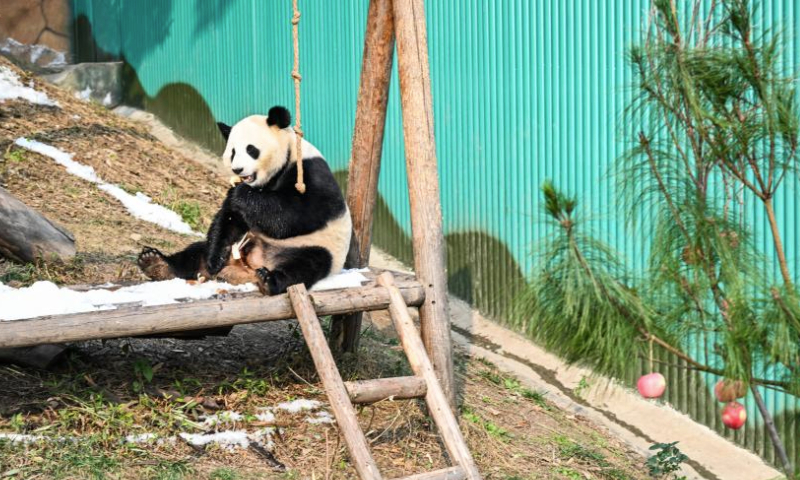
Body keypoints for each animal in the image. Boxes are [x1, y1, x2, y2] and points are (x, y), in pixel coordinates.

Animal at [138, 105, 354, 294]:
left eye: (251, 149)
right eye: (233, 152)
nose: (238, 170)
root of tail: (251, 266)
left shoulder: (311, 174)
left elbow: (295, 214)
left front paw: (240, 192)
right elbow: (230, 218)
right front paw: (214, 259)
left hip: (314, 247)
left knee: (305, 265)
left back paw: (269, 280)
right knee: (195, 253)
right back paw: (156, 263)